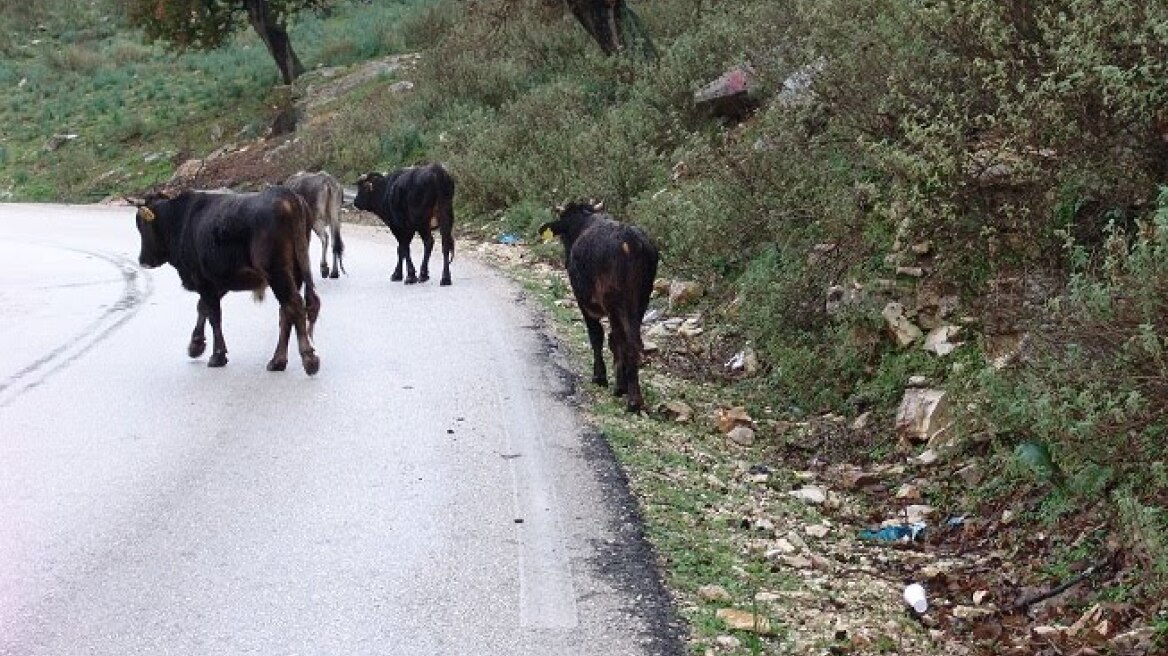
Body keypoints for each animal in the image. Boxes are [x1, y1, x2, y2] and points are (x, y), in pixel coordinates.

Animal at [132, 186, 320, 375]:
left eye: (142, 226)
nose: (143, 260)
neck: (179, 219)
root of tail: (286, 195)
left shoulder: (203, 280)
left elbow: (214, 315)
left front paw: (217, 355)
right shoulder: (219, 282)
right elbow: (202, 308)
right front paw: (196, 345)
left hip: (277, 272)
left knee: (294, 305)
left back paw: (309, 359)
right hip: (294, 273)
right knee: (286, 311)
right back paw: (277, 361)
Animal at [537, 201, 658, 410]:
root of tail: (631, 241)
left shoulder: (583, 301)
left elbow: (596, 336)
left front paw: (600, 376)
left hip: (614, 303)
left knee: (622, 340)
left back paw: (629, 396)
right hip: (640, 301)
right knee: (630, 341)